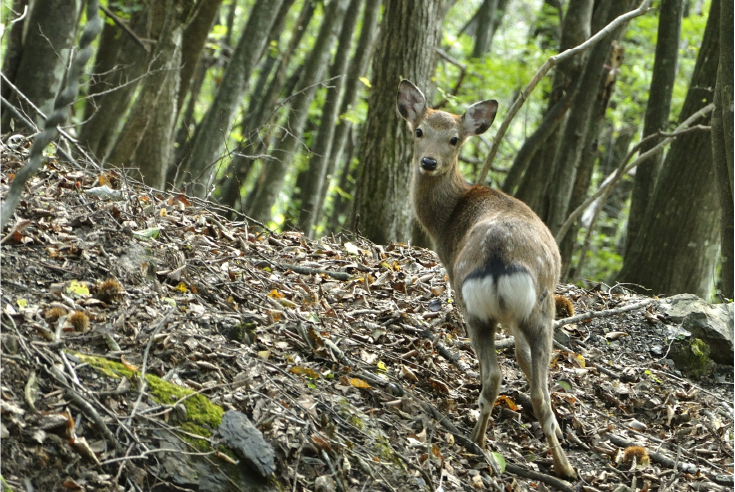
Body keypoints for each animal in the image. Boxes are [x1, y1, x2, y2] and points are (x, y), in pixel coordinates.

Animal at [396, 80, 576, 476]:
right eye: (419, 131)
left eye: (454, 139)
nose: (428, 162)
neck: (446, 221)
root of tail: (498, 257)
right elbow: (523, 359)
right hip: (535, 311)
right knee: (538, 388)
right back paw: (564, 467)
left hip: (478, 307)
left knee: (495, 375)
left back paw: (477, 441)